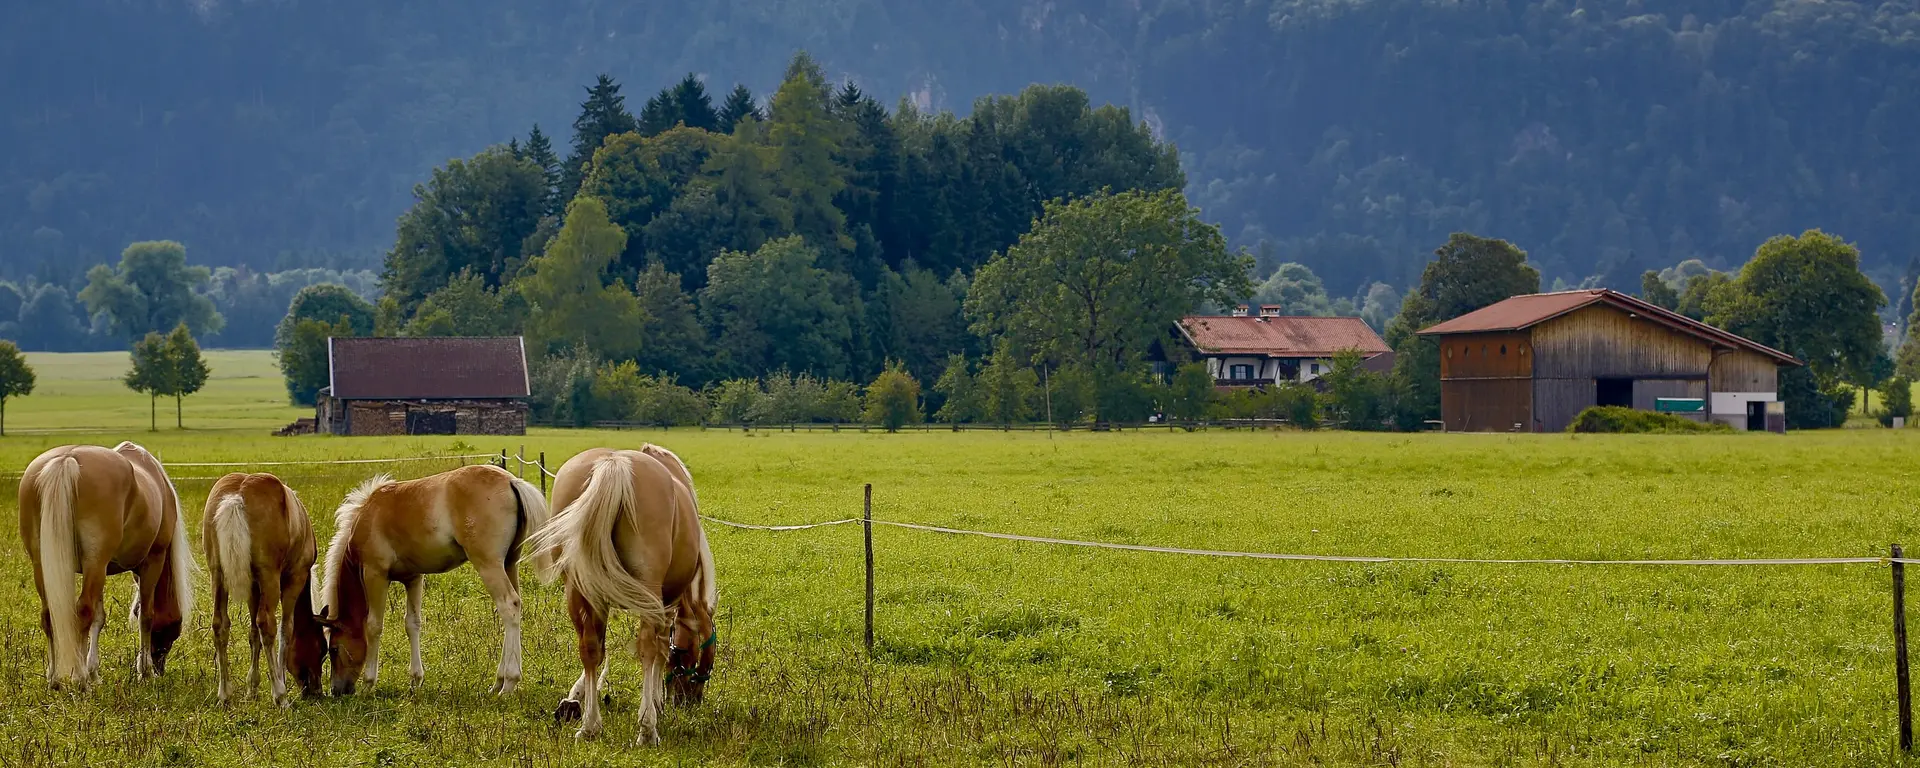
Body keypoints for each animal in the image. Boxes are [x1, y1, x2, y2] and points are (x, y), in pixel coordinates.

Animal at [16, 441, 194, 687]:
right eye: (172, 630)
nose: (159, 667)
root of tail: (67, 459)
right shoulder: (152, 561)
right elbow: (145, 615)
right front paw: (144, 671)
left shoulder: (101, 570)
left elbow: (99, 619)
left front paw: (95, 673)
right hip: (95, 563)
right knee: (83, 611)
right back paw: (80, 679)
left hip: (47, 564)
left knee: (50, 615)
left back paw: (54, 680)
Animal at [203, 474, 326, 706]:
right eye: (322, 648)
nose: (316, 691)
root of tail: (236, 497)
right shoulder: (294, 579)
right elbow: (285, 629)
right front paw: (279, 681)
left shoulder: (253, 587)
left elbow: (253, 634)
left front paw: (252, 687)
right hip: (270, 578)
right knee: (266, 624)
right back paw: (280, 696)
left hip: (218, 576)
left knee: (220, 625)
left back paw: (224, 694)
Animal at [314, 462, 552, 695]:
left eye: (333, 649)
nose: (337, 690)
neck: (368, 515)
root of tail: (512, 481)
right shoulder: (413, 578)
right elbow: (412, 623)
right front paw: (415, 680)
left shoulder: (375, 574)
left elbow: (374, 626)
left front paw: (368, 683)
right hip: (509, 564)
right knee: (515, 607)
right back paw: (498, 682)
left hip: (489, 565)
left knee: (508, 606)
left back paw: (509, 683)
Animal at [526, 443, 721, 744]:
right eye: (700, 656)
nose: (689, 700)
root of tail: (614, 465)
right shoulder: (668, 604)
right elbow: (661, 652)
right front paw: (656, 702)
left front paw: (575, 697)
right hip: (648, 593)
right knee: (647, 647)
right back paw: (647, 730)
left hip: (579, 589)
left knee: (590, 648)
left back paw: (590, 726)